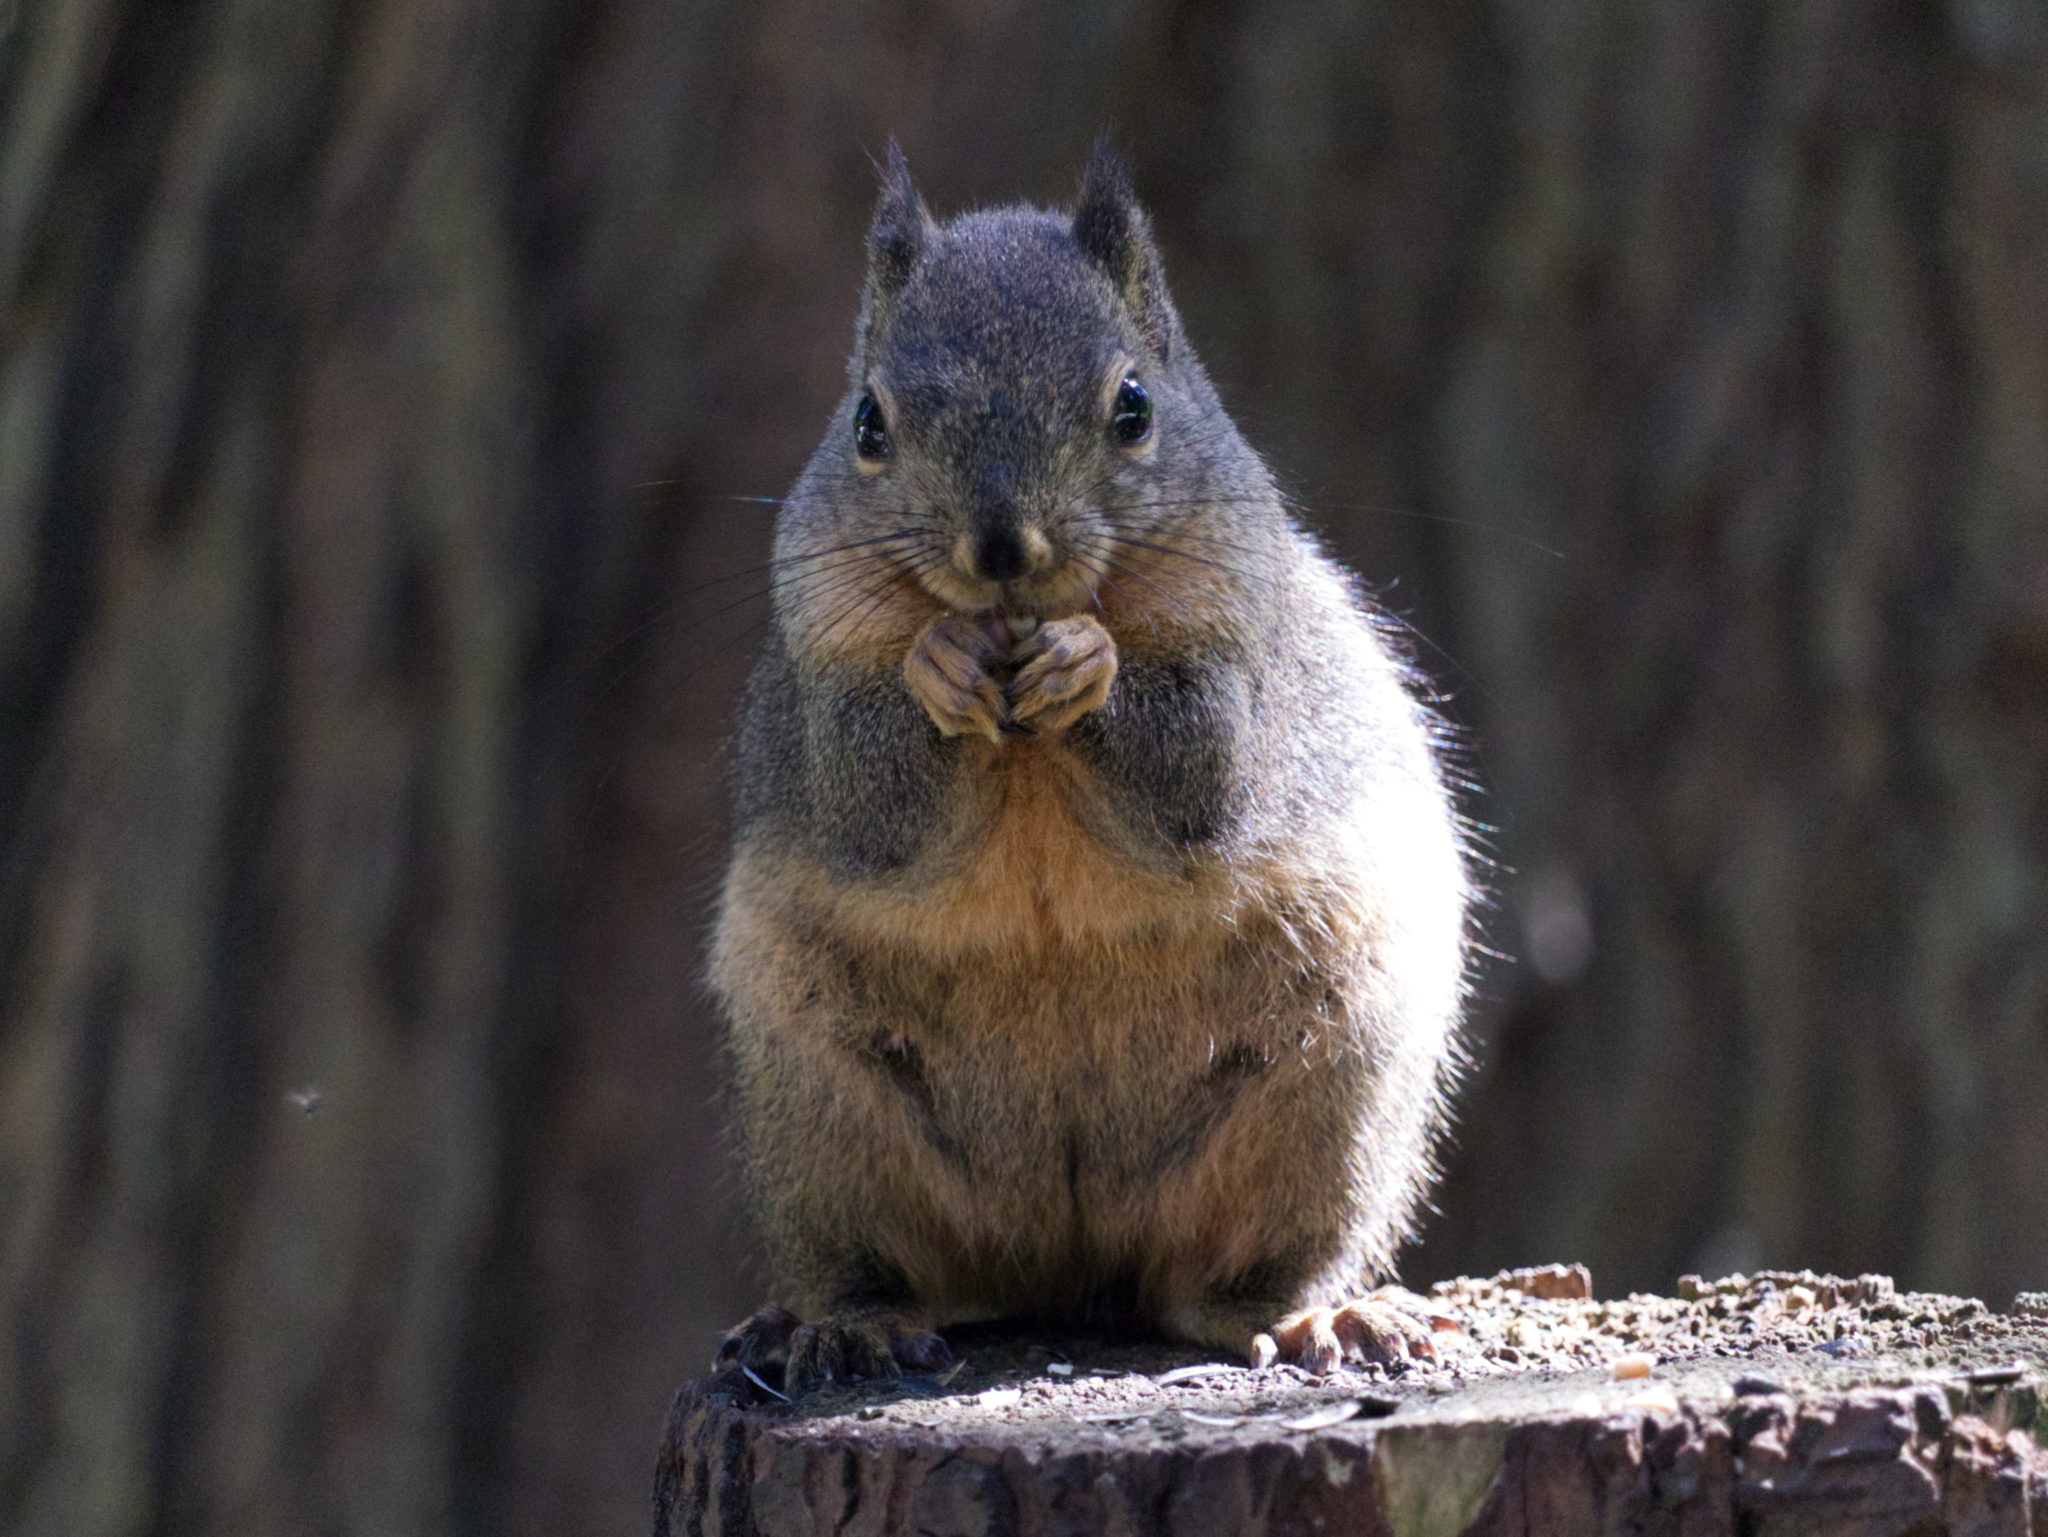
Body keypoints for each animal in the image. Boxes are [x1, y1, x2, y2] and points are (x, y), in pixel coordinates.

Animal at [709, 141, 1470, 1394]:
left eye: (1133, 406)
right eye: (867, 422)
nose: (1001, 549)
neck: (1026, 750)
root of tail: (1067, 1263)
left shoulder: (1244, 658)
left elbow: (1204, 770)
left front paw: (1086, 661)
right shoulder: (815, 674)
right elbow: (865, 794)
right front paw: (940, 662)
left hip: (1329, 1086)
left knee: (1227, 1282)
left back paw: (1313, 1314)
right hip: (816, 1106)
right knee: (880, 1264)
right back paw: (843, 1324)